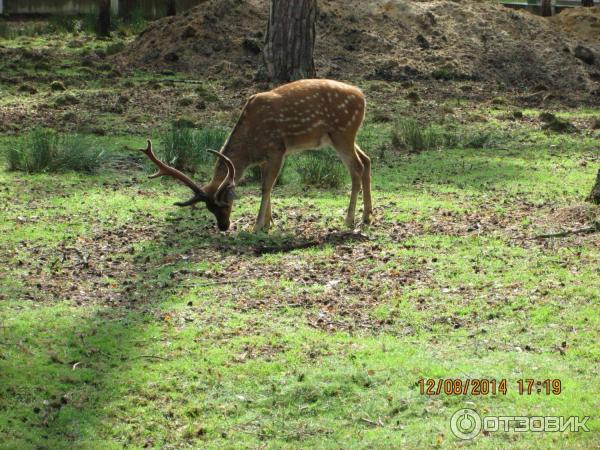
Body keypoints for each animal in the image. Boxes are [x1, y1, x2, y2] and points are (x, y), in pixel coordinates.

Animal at [138, 78, 370, 232]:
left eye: (225, 203)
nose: (224, 226)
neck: (250, 147)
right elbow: (267, 186)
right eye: (208, 208)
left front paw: (257, 225)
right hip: (342, 136)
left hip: (342, 132)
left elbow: (266, 187)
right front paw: (268, 222)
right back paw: (367, 217)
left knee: (356, 167)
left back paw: (349, 220)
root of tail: (362, 96)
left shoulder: (276, 149)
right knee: (366, 160)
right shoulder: (263, 160)